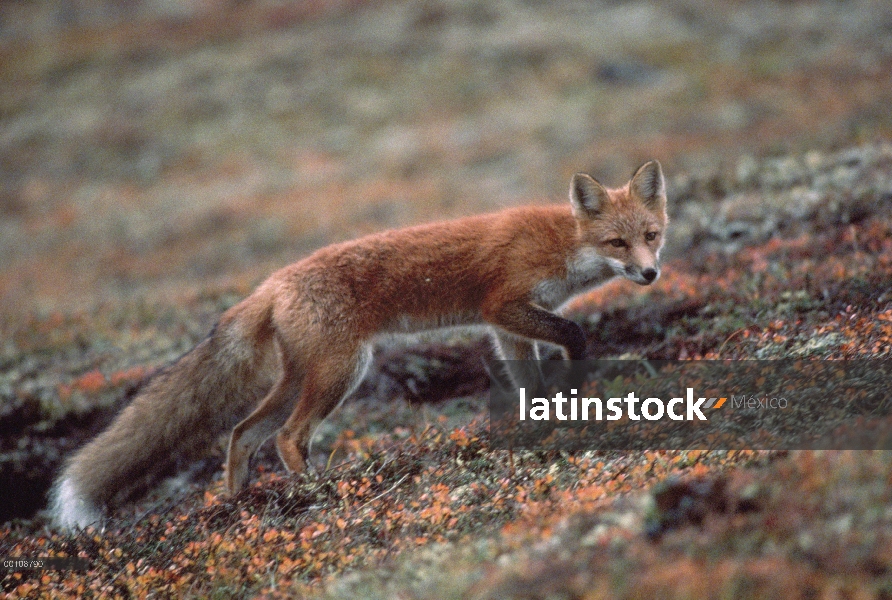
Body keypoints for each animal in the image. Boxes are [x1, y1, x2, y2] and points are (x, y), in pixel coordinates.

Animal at [47, 159, 664, 528]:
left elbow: (530, 386)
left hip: (303, 376)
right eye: (617, 242)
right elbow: (574, 332)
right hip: (343, 370)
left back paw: (240, 504)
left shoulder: (508, 327)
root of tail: (273, 282)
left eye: (651, 236)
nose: (651, 274)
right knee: (288, 437)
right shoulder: (504, 306)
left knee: (244, 433)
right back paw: (318, 492)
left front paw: (548, 423)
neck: (564, 244)